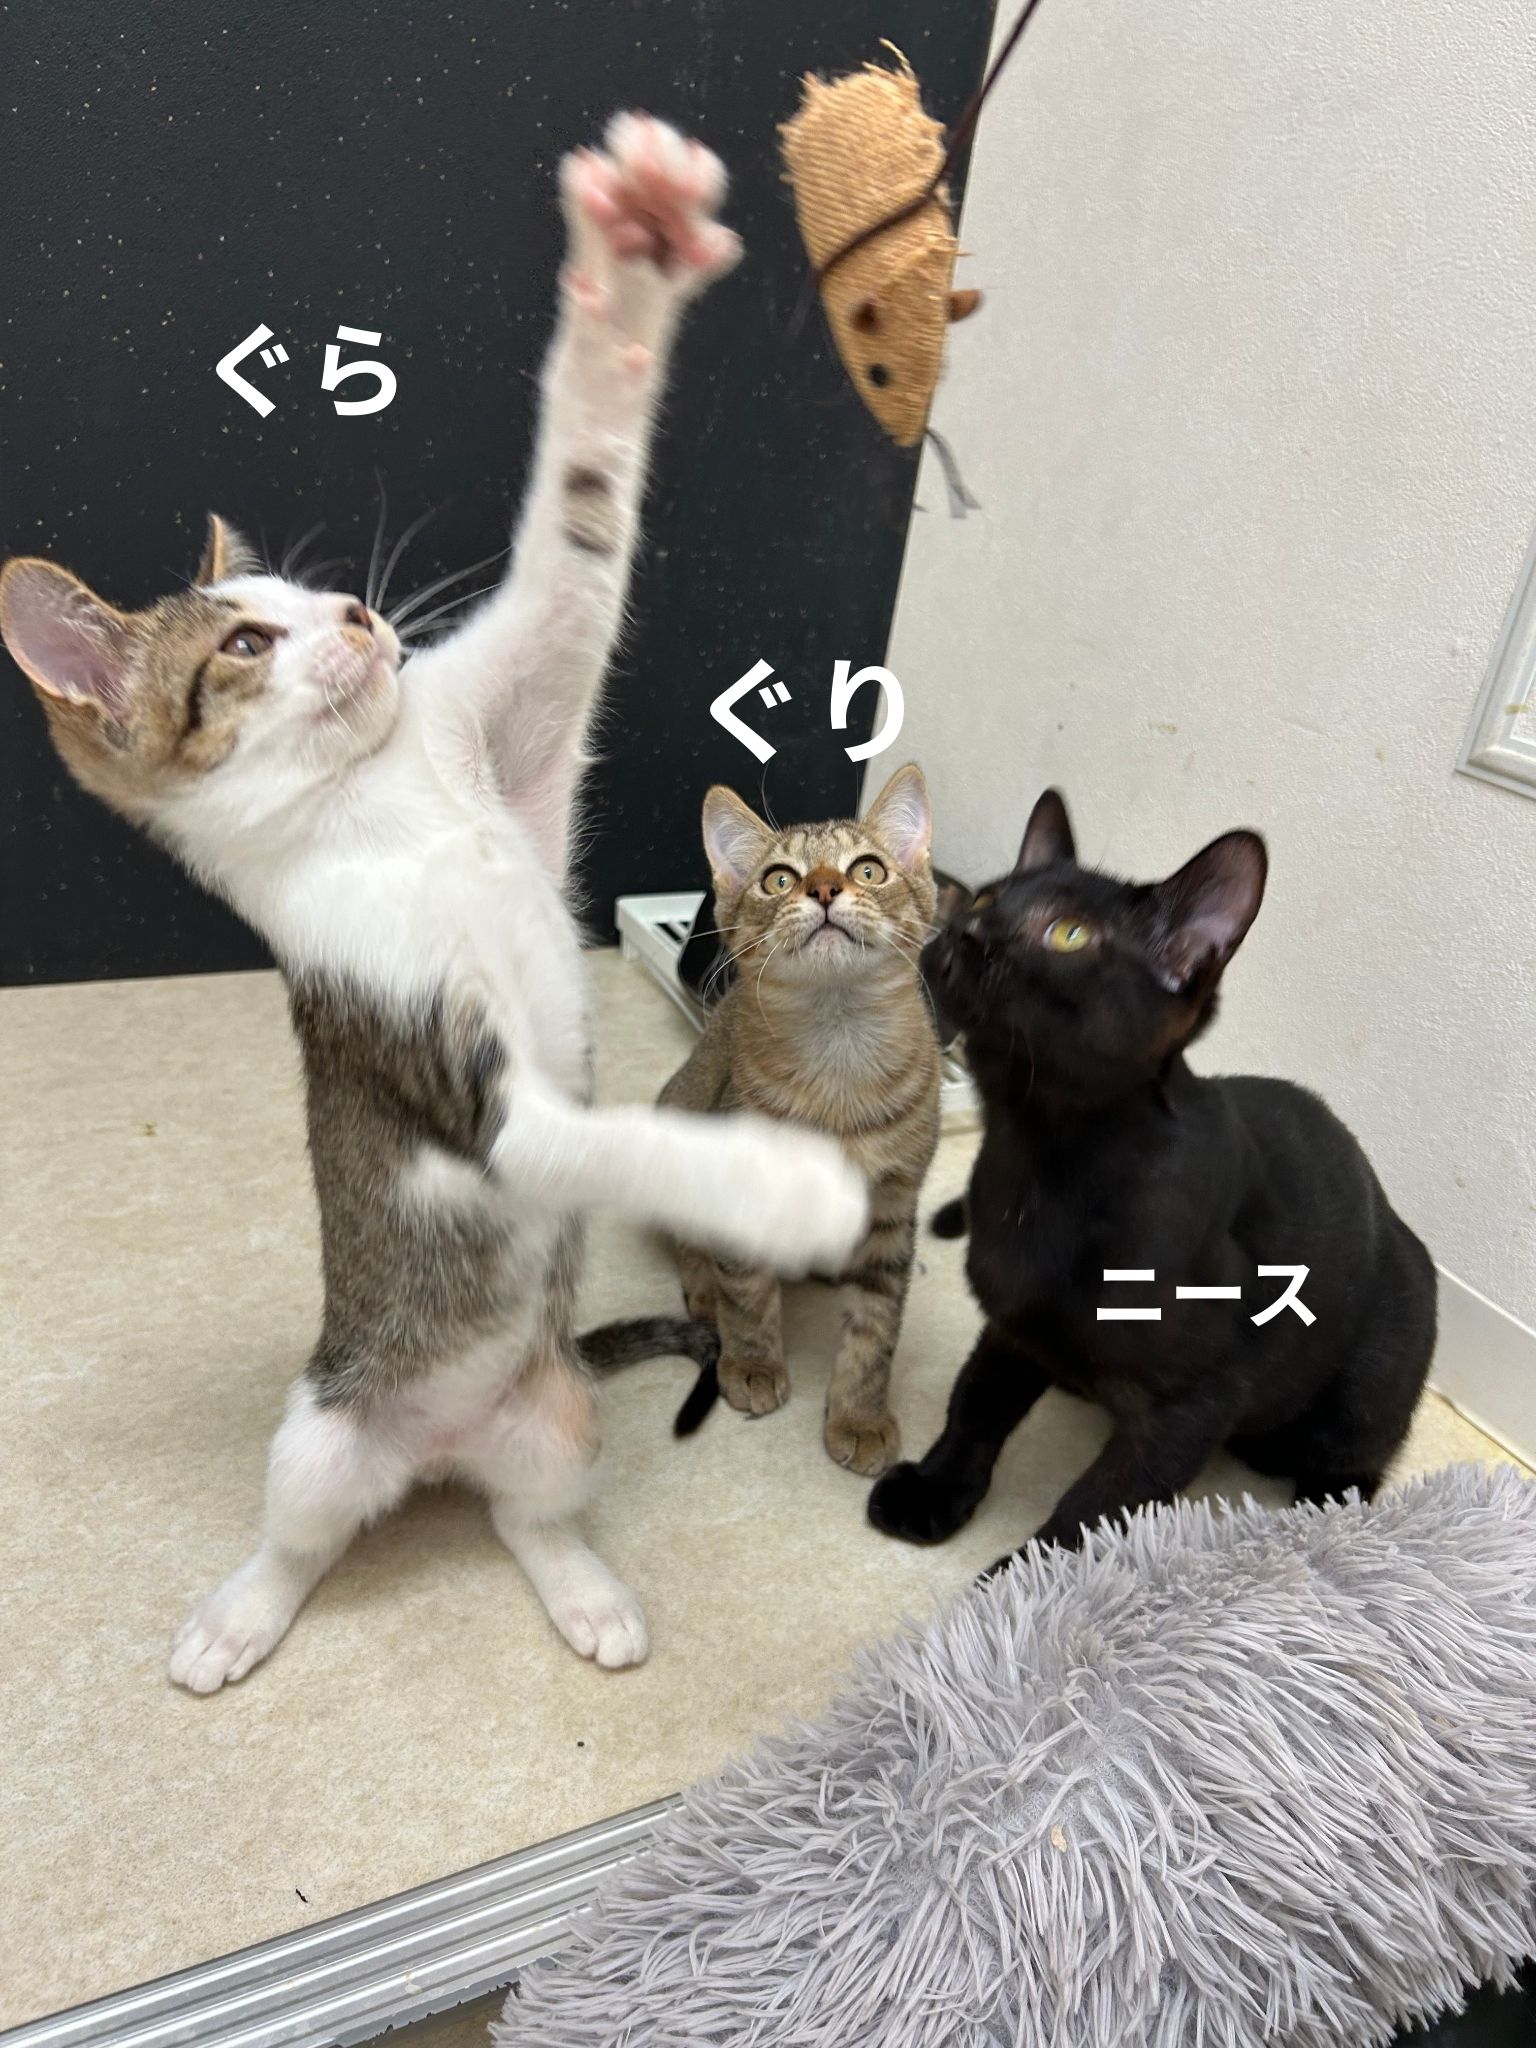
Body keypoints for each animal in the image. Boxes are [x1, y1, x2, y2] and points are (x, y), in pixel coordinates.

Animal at [0, 115, 869, 1690]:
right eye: (243, 641)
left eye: (313, 595)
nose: (357, 615)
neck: (388, 810)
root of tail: (445, 1447)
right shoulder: (448, 1063)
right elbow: (603, 1138)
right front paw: (783, 1185)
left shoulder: (510, 737)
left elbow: (576, 542)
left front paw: (626, 267)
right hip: (321, 1429)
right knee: (304, 1533)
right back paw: (238, 1616)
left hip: (555, 1418)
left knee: (533, 1513)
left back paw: (582, 1588)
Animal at [659, 764, 941, 1477]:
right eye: (778, 879)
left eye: (869, 869)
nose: (824, 888)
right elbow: (747, 1292)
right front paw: (753, 1362)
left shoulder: (894, 1206)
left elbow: (876, 1327)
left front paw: (860, 1415)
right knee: (687, 1240)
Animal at [867, 787, 1436, 1568]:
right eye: (984, 900)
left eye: (1068, 935)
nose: (966, 932)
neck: (1041, 1160)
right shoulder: (1013, 1327)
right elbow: (974, 1408)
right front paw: (933, 1490)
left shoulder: (1185, 1411)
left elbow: (1090, 1514)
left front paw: (1015, 1592)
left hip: (1363, 1393)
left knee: (1352, 1473)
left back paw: (1311, 1528)